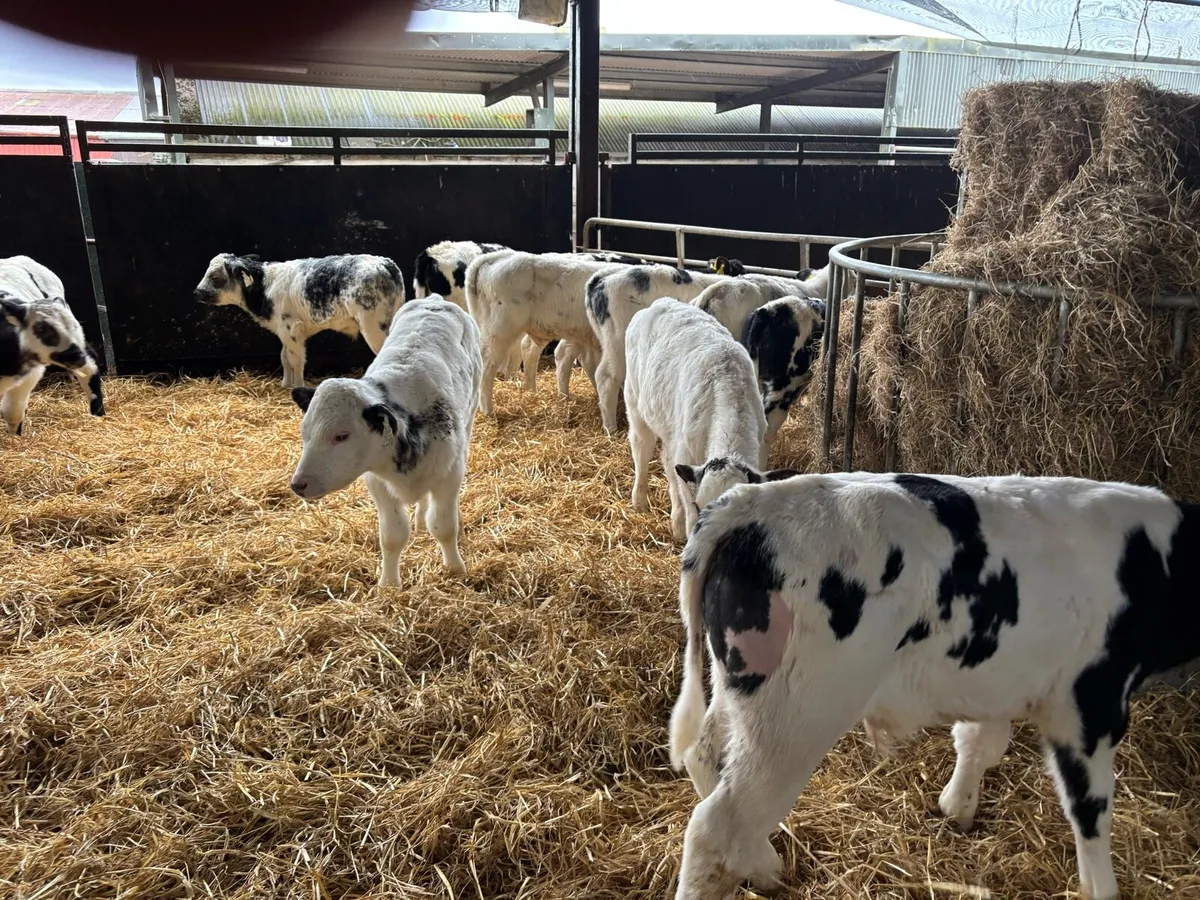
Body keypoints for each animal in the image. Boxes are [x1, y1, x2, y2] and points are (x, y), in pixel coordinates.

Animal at [194, 253, 405, 389]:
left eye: (215, 277)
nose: (196, 292)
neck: (265, 287)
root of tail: (384, 264)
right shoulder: (285, 332)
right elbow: (284, 357)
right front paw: (286, 384)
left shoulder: (291, 330)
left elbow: (296, 359)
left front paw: (297, 386)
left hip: (373, 327)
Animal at [289, 297, 481, 586]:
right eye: (306, 433)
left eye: (341, 436)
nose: (299, 485)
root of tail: (434, 300)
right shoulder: (377, 483)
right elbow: (392, 536)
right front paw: (389, 584)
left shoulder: (449, 474)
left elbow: (444, 526)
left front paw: (455, 568)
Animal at [668, 471, 1200, 900]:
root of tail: (753, 501)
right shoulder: (1090, 702)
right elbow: (1090, 810)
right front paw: (1101, 886)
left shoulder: (997, 678)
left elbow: (981, 741)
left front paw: (957, 807)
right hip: (793, 718)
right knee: (715, 832)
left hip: (737, 689)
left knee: (704, 756)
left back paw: (763, 865)